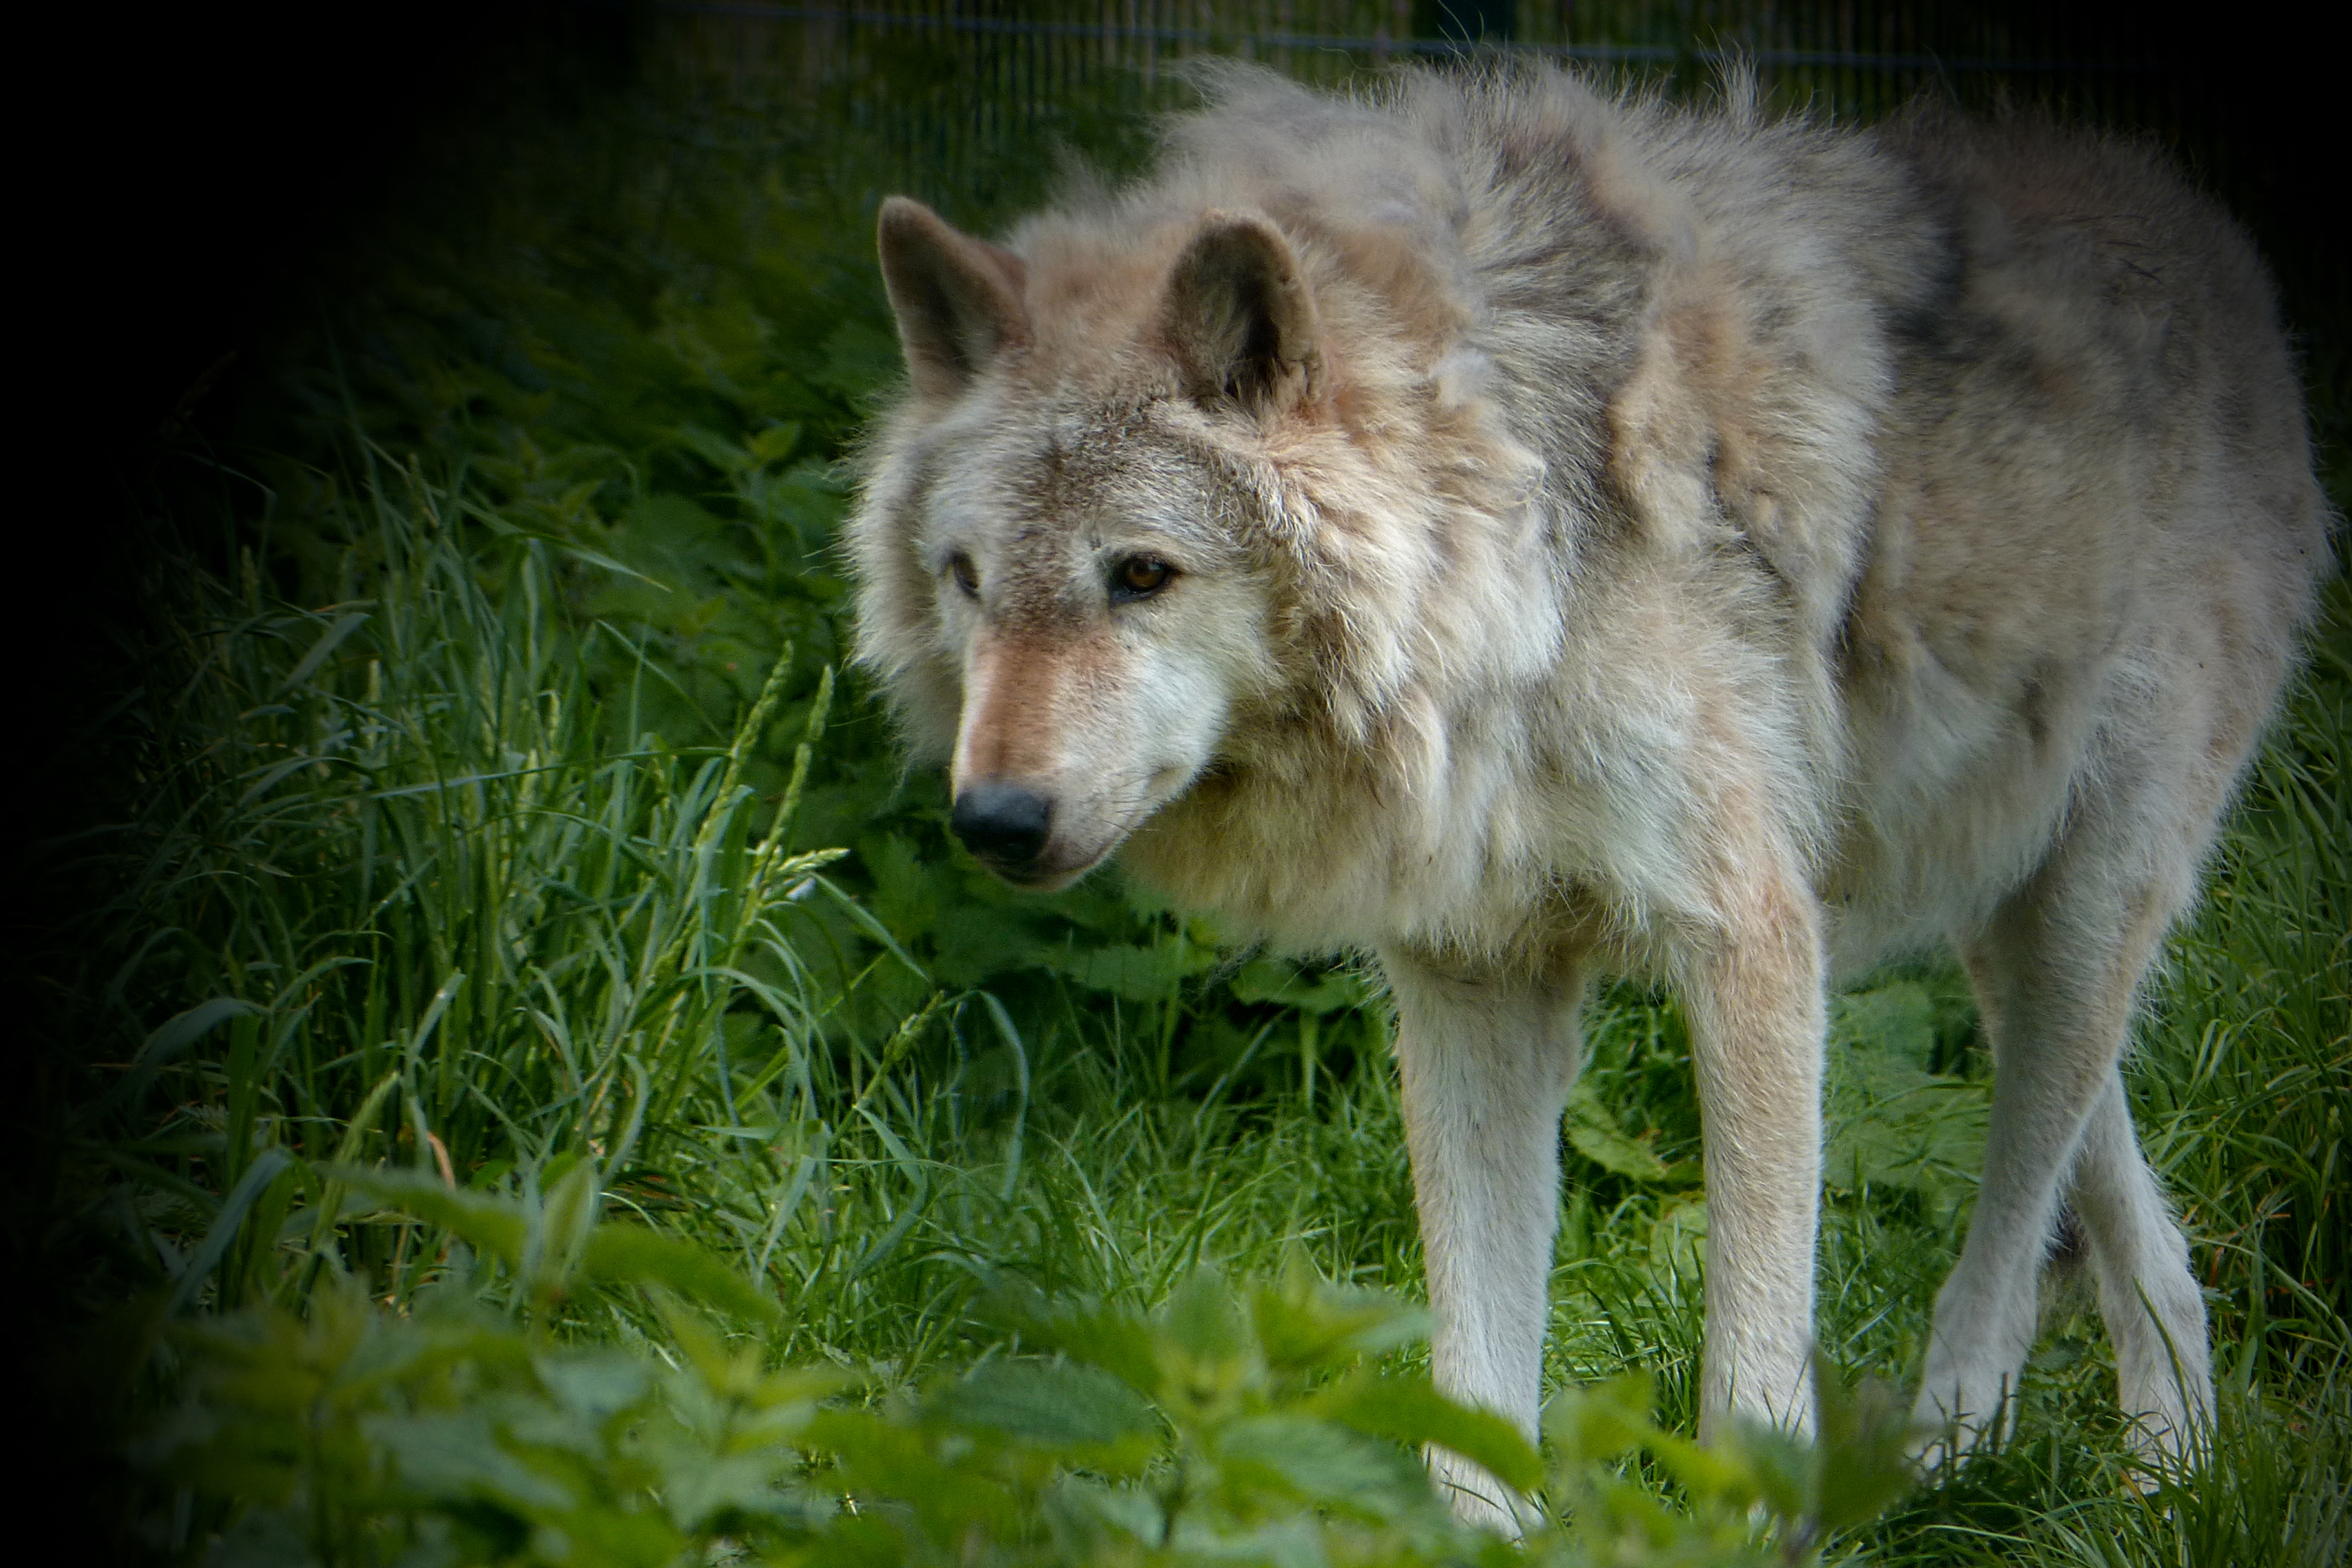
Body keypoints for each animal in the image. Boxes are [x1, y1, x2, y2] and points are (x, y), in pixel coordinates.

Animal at [847, 63, 2328, 1527]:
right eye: (968, 579)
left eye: (1142, 574)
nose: (993, 820)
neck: (1508, 569)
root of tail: (2210, 233)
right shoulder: (1472, 977)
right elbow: (1472, 1369)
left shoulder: (1750, 941)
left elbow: (1752, 1360)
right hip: (1994, 914)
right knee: (2136, 1215)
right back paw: (2168, 1476)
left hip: (2079, 905)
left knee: (2018, 1219)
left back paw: (1961, 1447)